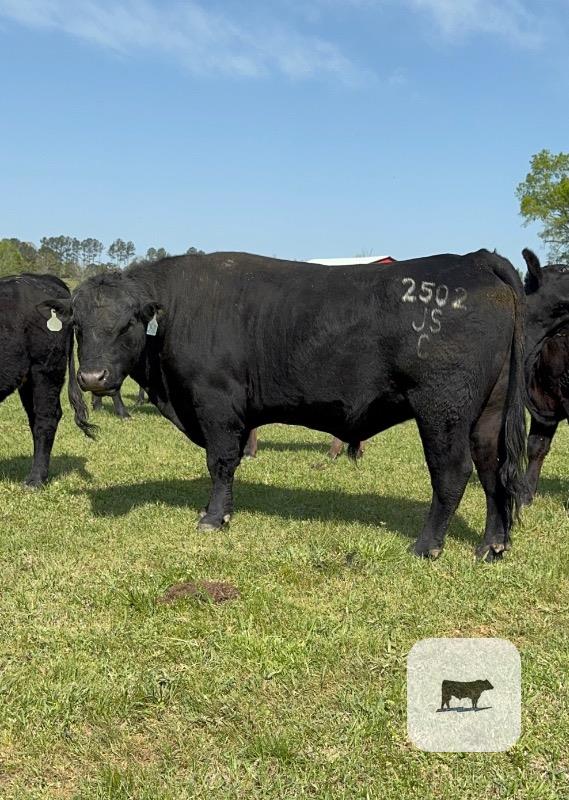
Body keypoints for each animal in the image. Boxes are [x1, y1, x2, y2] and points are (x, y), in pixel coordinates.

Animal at [59, 249, 526, 560]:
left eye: (127, 324)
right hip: (488, 412)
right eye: (78, 325)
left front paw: (214, 517)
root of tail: (474, 259)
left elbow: (220, 462)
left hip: (442, 409)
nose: (92, 378)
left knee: (452, 472)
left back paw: (426, 546)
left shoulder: (216, 403)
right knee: (491, 469)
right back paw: (492, 544)